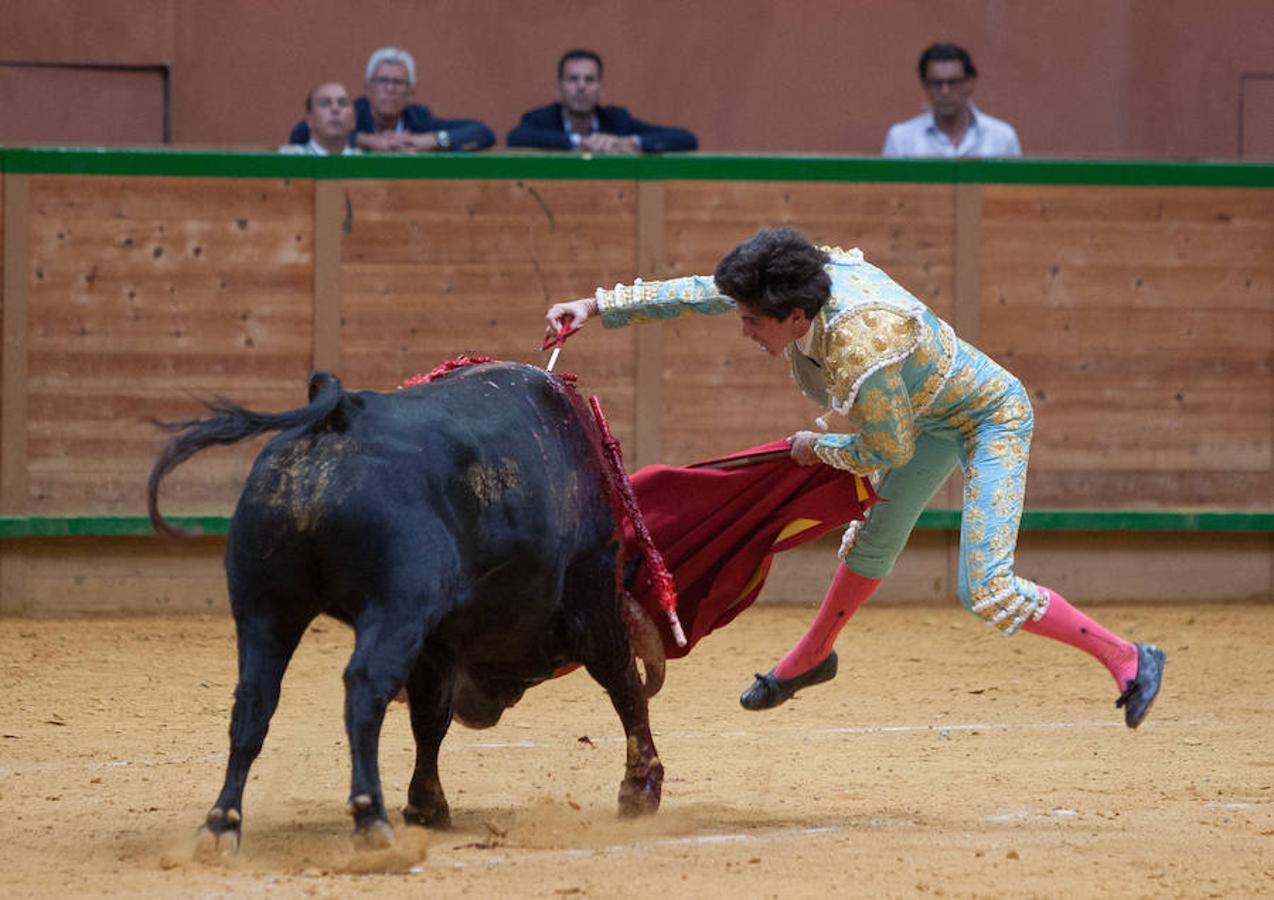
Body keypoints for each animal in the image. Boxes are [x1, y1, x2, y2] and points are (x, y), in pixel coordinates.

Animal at [147, 359, 667, 846]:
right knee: (363, 688)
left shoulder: (435, 639)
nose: (483, 711)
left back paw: (222, 824)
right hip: (390, 609)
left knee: (255, 698)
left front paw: (426, 805)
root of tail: (340, 417)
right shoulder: (592, 593)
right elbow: (623, 684)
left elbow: (429, 718)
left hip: (266, 607)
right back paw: (369, 817)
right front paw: (640, 789)